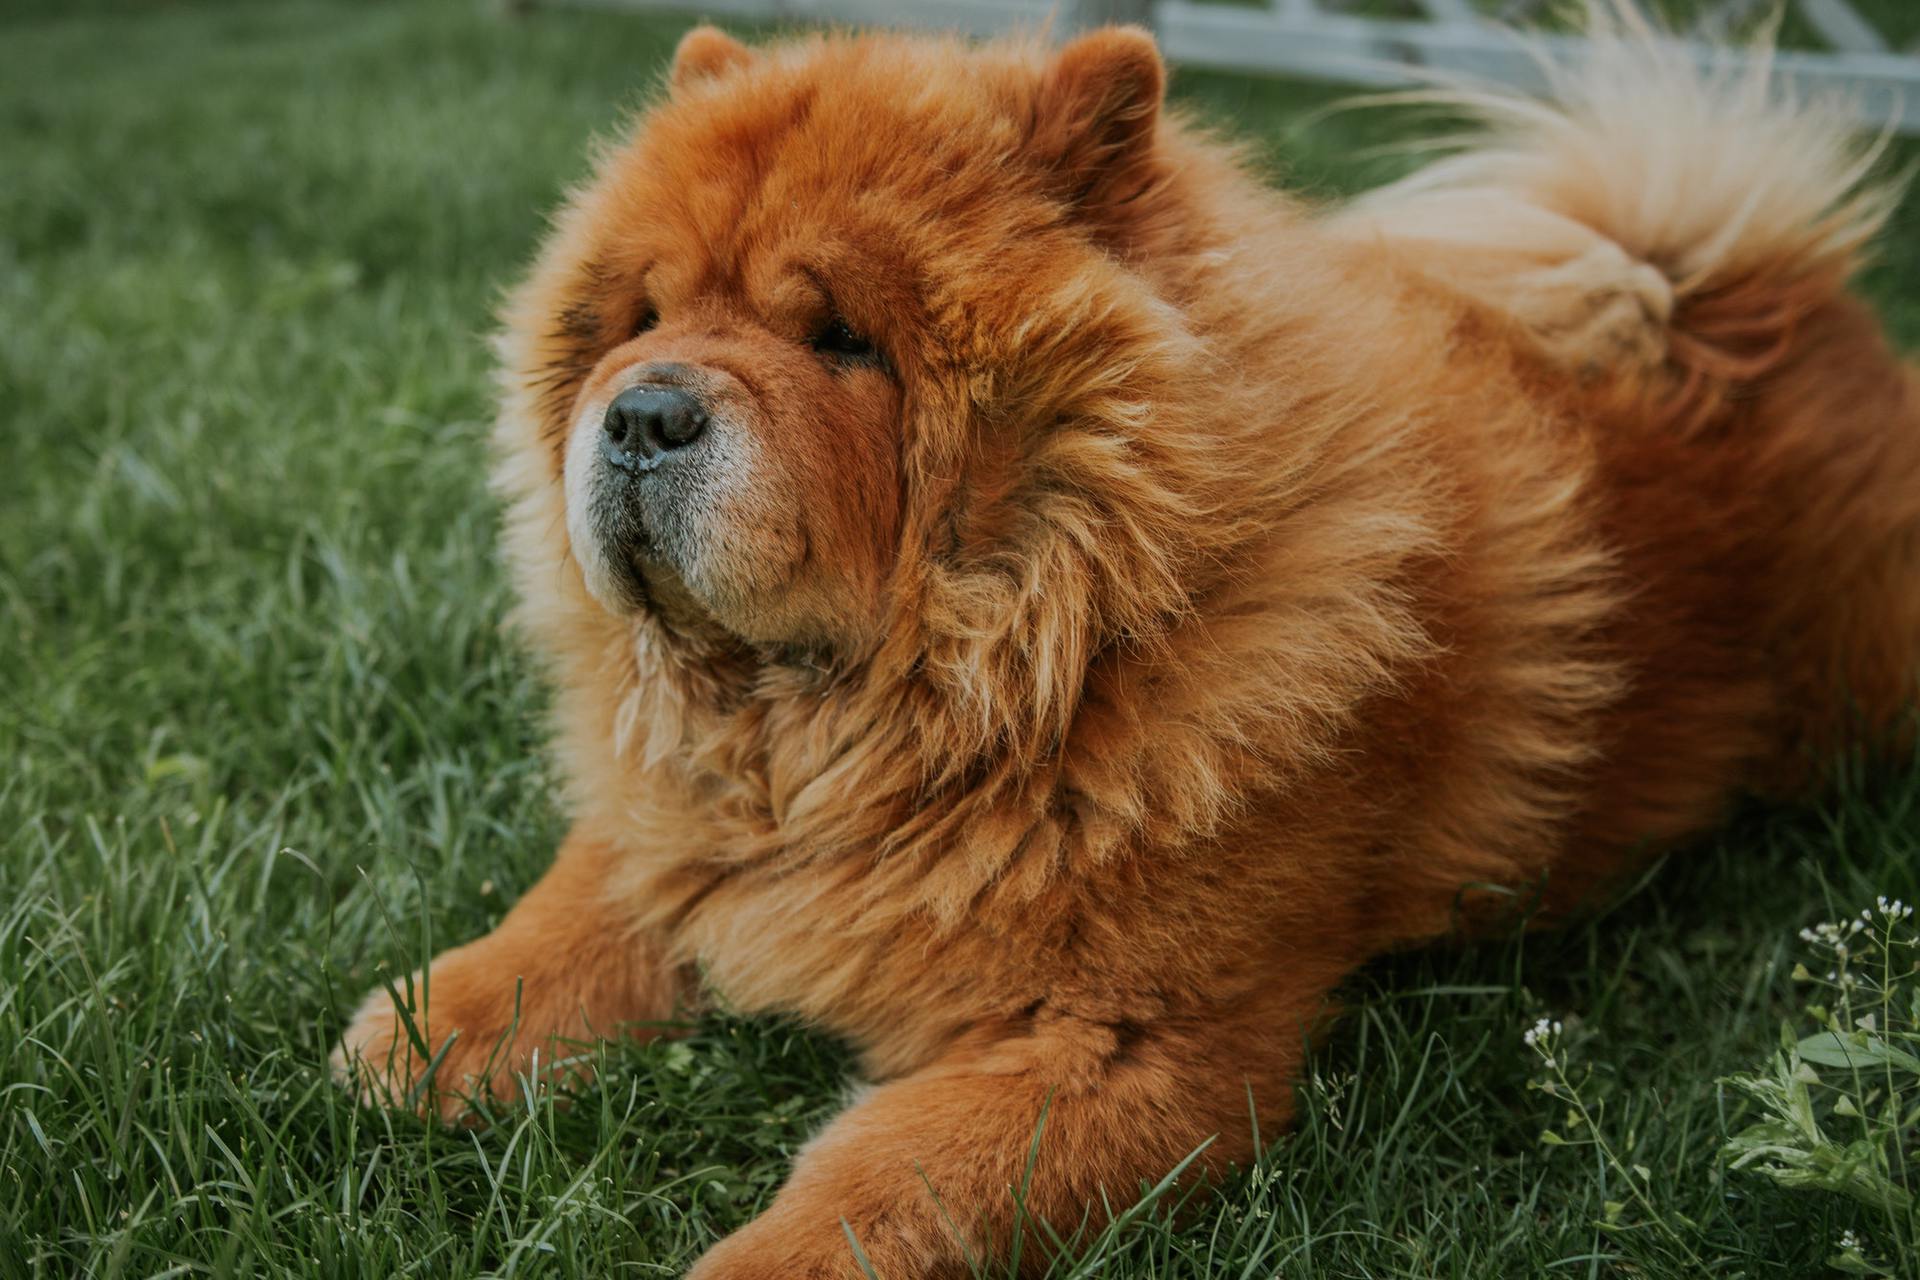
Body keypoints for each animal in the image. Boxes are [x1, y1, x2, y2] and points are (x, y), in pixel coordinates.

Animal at [330, 12, 1920, 1280]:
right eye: (642, 316)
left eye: (842, 340)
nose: (644, 410)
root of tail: (1755, 301)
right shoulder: (690, 836)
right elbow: (568, 919)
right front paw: (411, 1044)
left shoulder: (1128, 1042)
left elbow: (882, 1181)